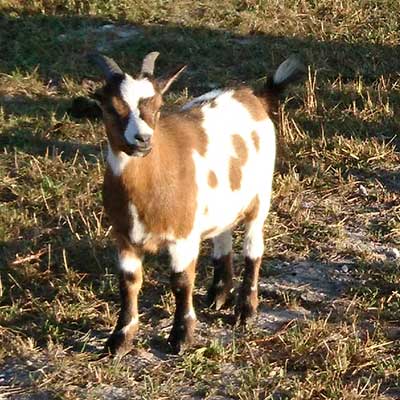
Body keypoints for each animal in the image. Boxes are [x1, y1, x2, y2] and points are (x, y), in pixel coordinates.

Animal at [90, 51, 304, 354]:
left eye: (157, 106)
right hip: (221, 202)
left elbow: (181, 282)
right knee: (222, 237)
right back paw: (219, 294)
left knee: (253, 247)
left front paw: (181, 336)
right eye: (110, 108)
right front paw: (119, 339)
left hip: (260, 194)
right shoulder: (124, 237)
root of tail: (253, 96)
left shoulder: (182, 236)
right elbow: (128, 283)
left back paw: (246, 309)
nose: (143, 139)